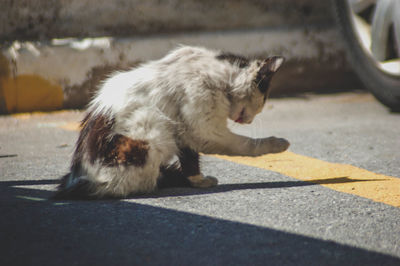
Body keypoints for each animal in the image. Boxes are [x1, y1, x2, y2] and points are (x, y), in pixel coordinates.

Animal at [54, 46, 290, 200]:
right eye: (263, 101)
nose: (250, 120)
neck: (220, 76)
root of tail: (81, 180)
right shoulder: (204, 129)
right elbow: (246, 144)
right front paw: (278, 144)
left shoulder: (186, 132)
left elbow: (191, 159)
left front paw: (197, 180)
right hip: (152, 125)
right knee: (142, 183)